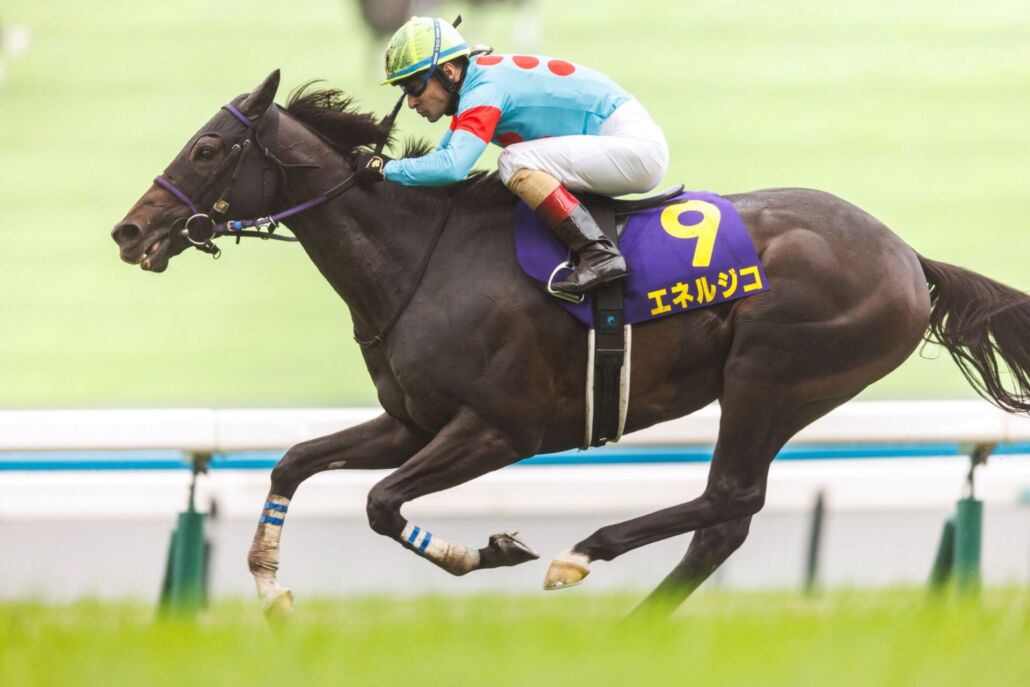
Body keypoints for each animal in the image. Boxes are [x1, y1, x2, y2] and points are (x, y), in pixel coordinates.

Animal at [111, 71, 1030, 619]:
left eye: (208, 147)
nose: (129, 232)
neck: (422, 257)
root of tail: (907, 256)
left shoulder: (501, 427)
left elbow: (379, 504)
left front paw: (492, 549)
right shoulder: (412, 423)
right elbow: (294, 461)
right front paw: (269, 583)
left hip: (772, 376)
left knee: (731, 498)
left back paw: (584, 557)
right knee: (726, 521)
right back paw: (634, 626)